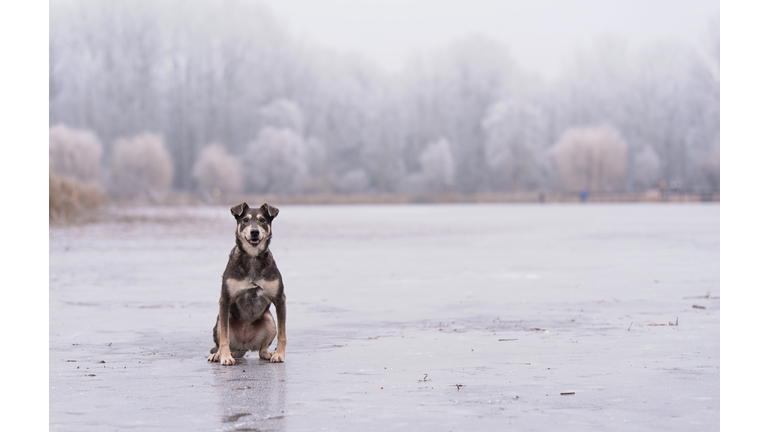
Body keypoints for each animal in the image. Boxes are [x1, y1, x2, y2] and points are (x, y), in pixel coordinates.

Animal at [207, 202, 284, 364]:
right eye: (245, 220)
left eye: (262, 220)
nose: (254, 232)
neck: (252, 257)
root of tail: (244, 345)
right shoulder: (225, 300)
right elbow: (224, 337)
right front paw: (225, 357)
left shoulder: (280, 299)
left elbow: (283, 334)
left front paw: (280, 354)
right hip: (221, 320)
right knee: (221, 340)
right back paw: (218, 355)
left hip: (269, 320)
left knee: (262, 350)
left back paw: (269, 354)